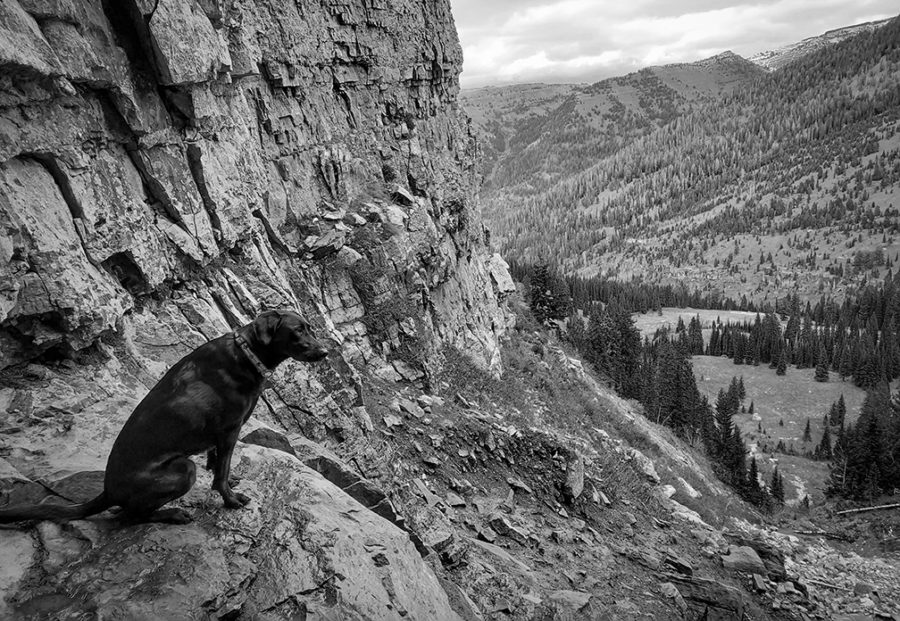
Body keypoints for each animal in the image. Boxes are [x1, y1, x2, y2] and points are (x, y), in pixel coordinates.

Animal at [0, 310, 330, 524]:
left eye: (310, 328)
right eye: (297, 331)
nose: (326, 352)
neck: (246, 353)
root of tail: (108, 492)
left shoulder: (220, 437)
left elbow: (217, 462)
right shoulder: (229, 430)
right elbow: (221, 472)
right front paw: (230, 499)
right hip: (183, 468)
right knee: (128, 517)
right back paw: (173, 514)